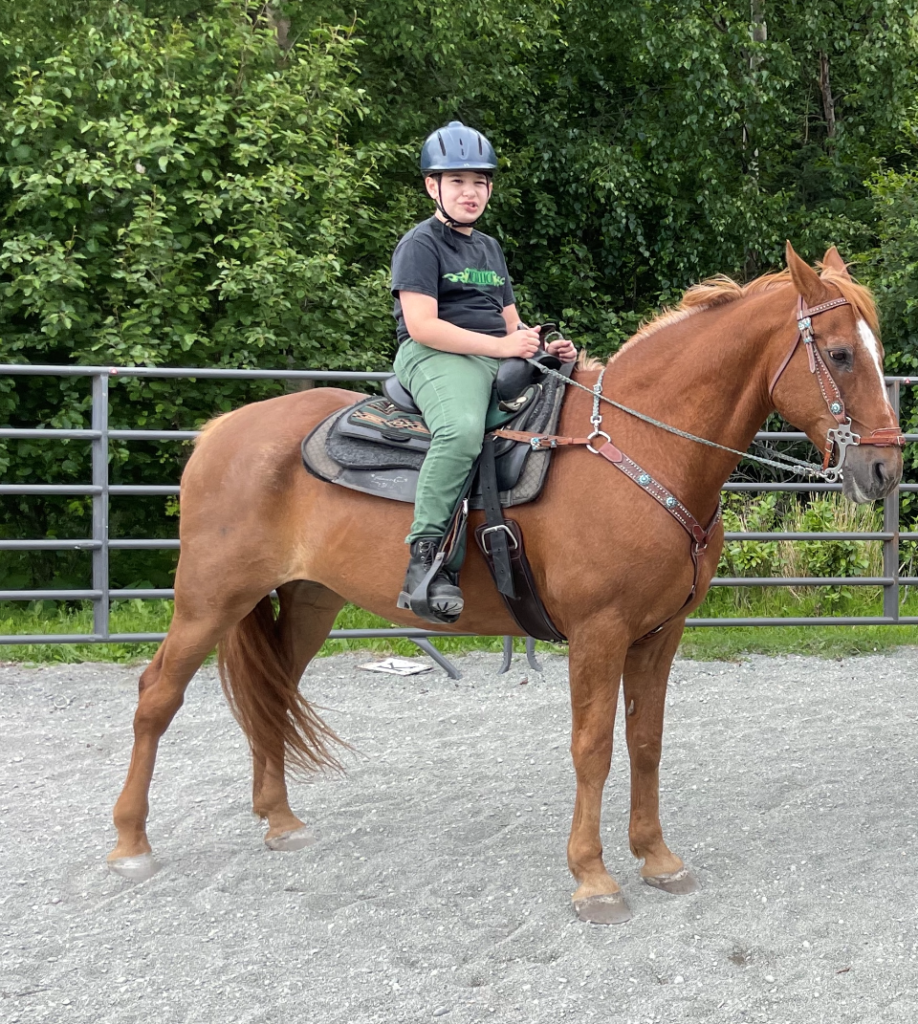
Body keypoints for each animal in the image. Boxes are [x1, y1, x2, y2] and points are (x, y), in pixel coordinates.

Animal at [106, 243, 903, 924]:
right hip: (210, 598)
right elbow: (594, 747)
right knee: (157, 695)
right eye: (838, 354)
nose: (884, 469)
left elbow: (646, 741)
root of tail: (221, 432)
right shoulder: (599, 633)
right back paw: (130, 844)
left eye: (877, 352)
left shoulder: (660, 632)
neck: (643, 448)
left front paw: (658, 858)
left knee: (273, 695)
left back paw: (279, 821)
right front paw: (593, 878)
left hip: (307, 603)